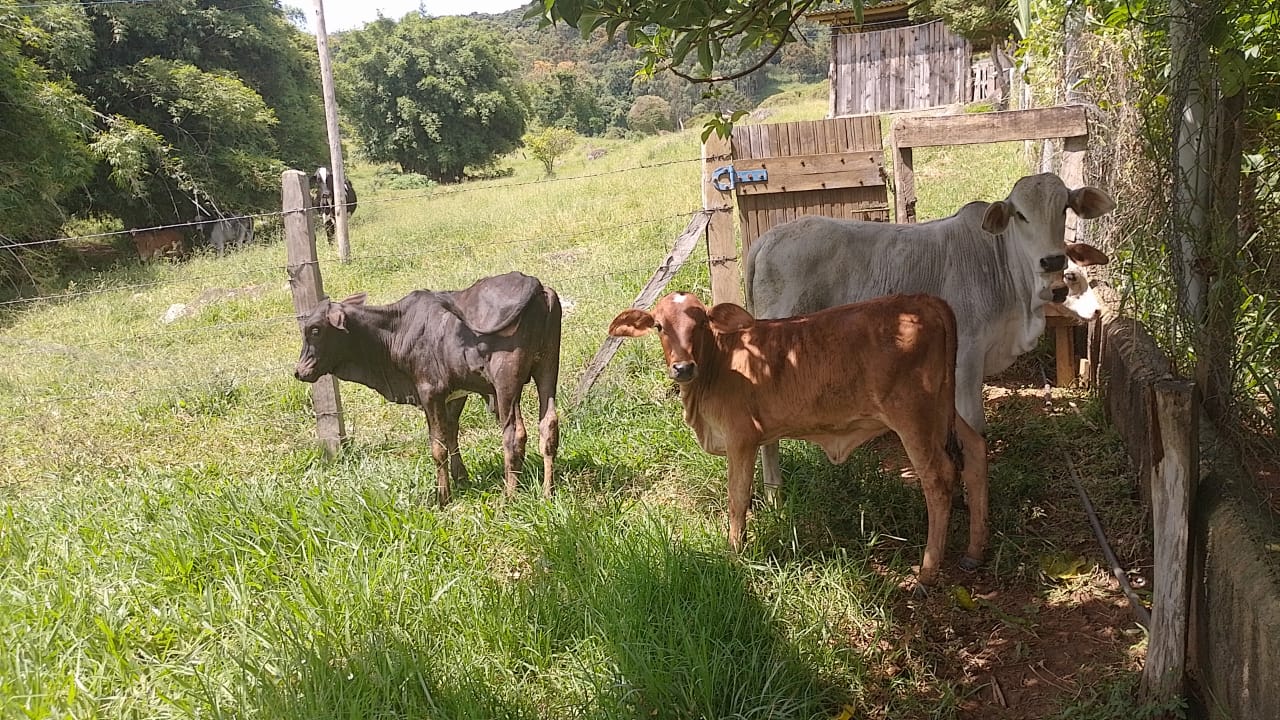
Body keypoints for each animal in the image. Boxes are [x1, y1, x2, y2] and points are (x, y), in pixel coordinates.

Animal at [298, 270, 565, 504]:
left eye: (315, 330)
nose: (299, 371)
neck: (396, 329)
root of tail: (533, 283)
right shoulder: (456, 393)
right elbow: (451, 433)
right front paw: (461, 479)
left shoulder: (430, 391)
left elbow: (438, 447)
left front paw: (442, 498)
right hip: (548, 366)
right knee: (548, 424)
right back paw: (547, 492)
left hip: (505, 381)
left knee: (513, 435)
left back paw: (508, 498)